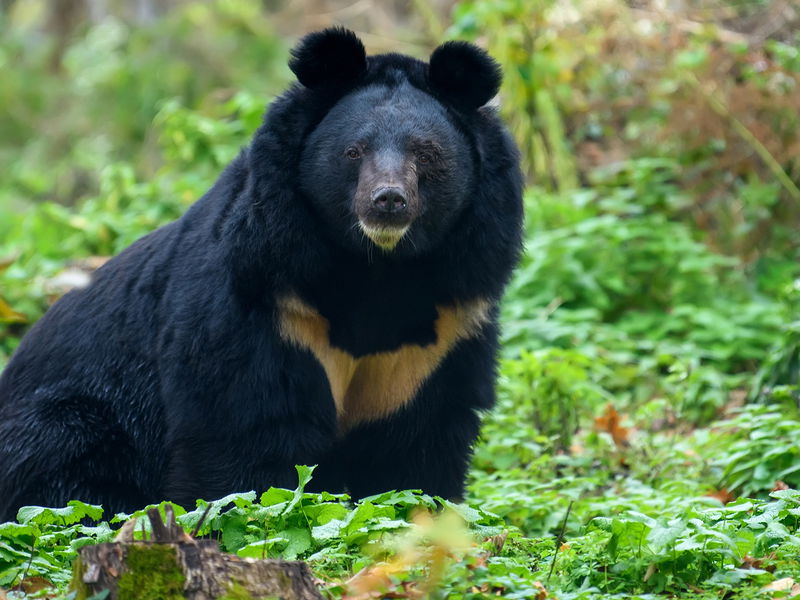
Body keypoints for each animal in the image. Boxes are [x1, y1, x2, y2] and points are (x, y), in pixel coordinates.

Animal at [0, 27, 524, 520]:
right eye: (354, 152)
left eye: (427, 153)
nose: (388, 201)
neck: (377, 268)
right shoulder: (264, 301)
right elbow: (244, 428)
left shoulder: (440, 335)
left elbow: (416, 444)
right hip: (73, 416)